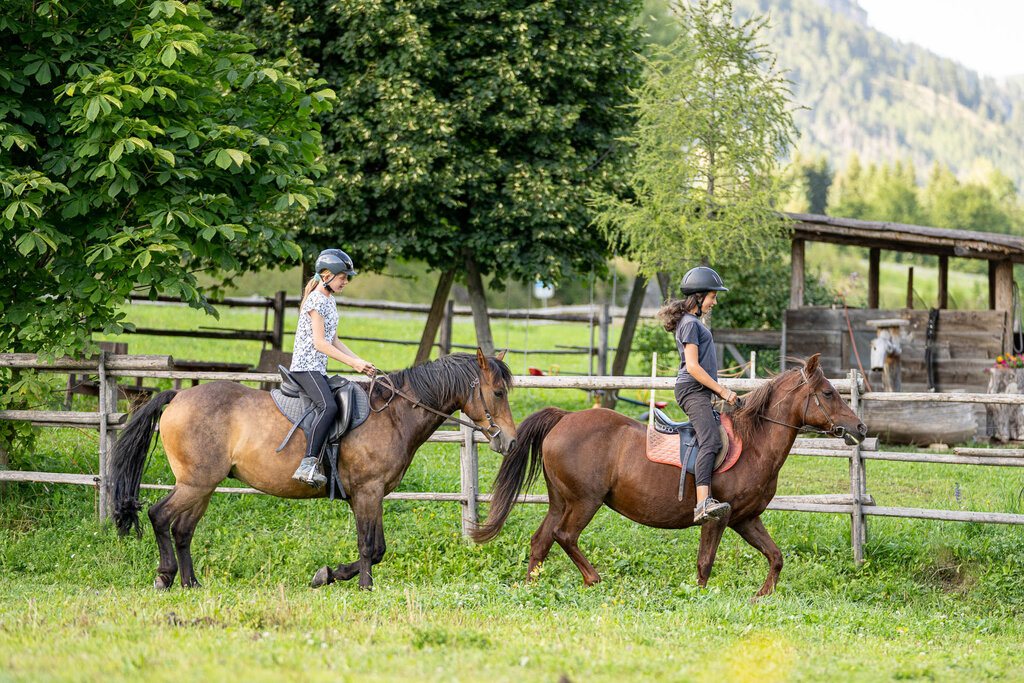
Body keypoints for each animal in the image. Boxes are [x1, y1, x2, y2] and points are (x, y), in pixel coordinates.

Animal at [108, 350, 517, 590]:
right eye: (497, 393)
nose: (510, 442)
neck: (392, 416)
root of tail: (179, 395)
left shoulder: (369, 495)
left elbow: (377, 548)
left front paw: (329, 575)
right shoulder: (367, 492)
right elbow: (370, 546)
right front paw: (361, 586)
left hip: (204, 486)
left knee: (183, 529)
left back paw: (191, 583)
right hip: (195, 483)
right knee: (160, 515)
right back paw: (165, 577)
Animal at [471, 354, 865, 601]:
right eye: (828, 393)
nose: (860, 428)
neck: (754, 443)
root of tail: (564, 418)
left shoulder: (746, 518)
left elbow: (776, 556)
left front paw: (761, 596)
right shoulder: (717, 518)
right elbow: (705, 562)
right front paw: (700, 597)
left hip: (561, 500)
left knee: (541, 541)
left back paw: (531, 588)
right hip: (584, 501)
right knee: (564, 536)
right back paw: (593, 579)